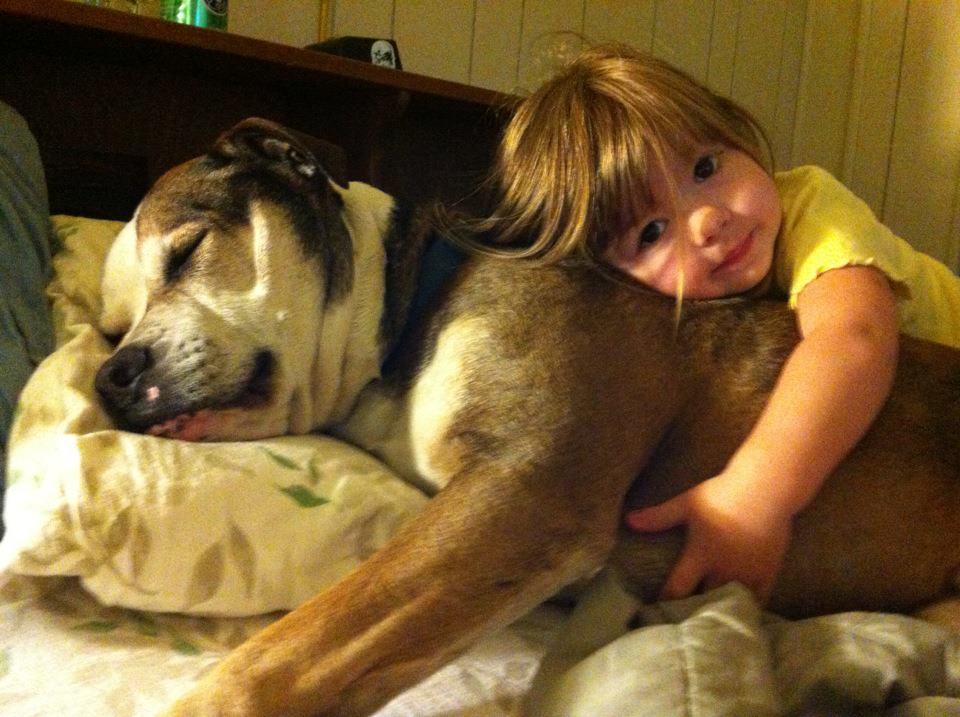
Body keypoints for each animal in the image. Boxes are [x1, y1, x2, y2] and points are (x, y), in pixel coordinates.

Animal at [94, 118, 960, 717]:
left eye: (187, 252)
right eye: (108, 328)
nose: (112, 376)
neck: (410, 313)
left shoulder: (527, 492)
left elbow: (288, 650)